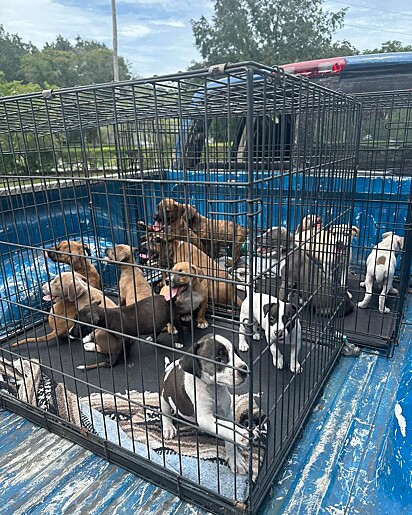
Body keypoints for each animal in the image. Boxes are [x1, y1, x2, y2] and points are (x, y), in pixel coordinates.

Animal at [161, 334, 251, 476]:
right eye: (218, 359)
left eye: (236, 353)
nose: (244, 368)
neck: (213, 389)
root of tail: (168, 367)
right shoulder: (205, 418)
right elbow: (226, 427)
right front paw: (240, 434)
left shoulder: (226, 413)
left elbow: (227, 430)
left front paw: (235, 459)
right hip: (164, 398)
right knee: (165, 414)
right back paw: (168, 427)